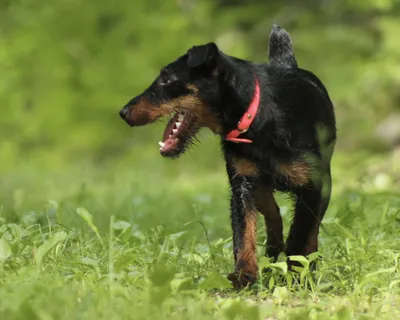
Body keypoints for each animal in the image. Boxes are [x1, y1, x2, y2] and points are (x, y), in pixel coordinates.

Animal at [119, 24, 338, 290]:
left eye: (166, 79)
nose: (123, 112)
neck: (255, 117)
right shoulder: (242, 185)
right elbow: (243, 232)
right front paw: (245, 275)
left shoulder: (314, 185)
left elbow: (301, 231)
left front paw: (296, 273)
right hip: (260, 189)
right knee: (274, 216)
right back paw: (272, 254)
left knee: (309, 228)